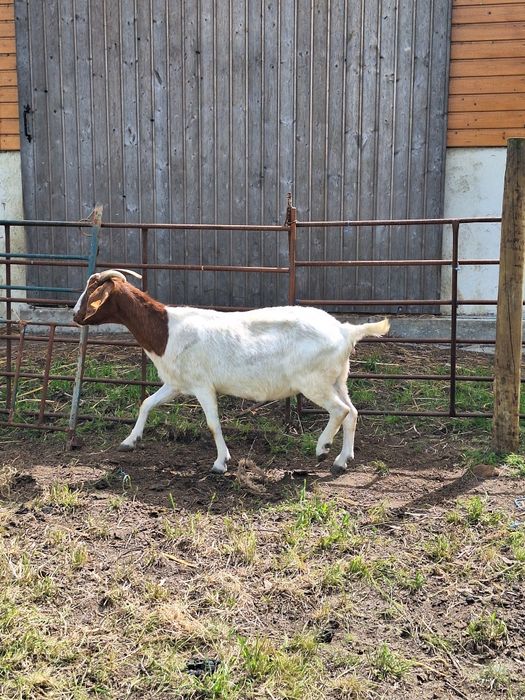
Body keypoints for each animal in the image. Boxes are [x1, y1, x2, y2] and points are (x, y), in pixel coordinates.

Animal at [73, 270, 390, 474]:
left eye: (91, 291)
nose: (75, 315)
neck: (166, 330)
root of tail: (345, 331)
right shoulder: (176, 384)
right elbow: (146, 404)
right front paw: (130, 441)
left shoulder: (203, 386)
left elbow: (213, 424)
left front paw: (220, 463)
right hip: (337, 379)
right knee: (353, 412)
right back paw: (342, 460)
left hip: (314, 382)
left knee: (340, 411)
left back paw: (323, 448)